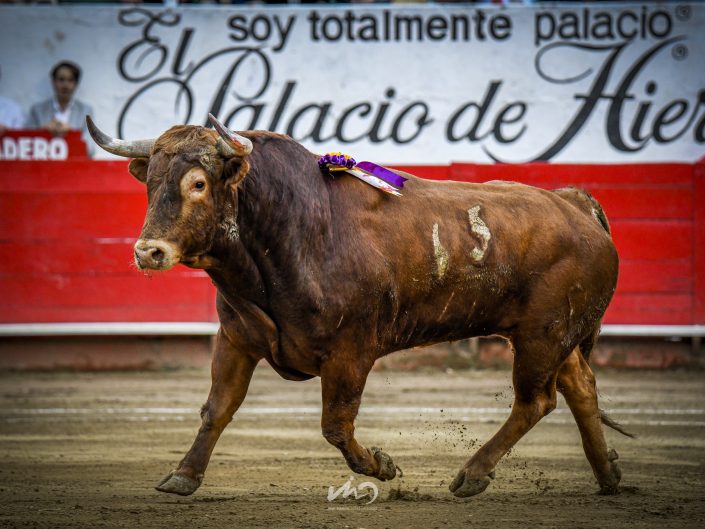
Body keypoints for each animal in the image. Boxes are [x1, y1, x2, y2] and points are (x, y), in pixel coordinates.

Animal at [85, 115, 624, 500]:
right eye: (150, 183)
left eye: (198, 183)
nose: (148, 252)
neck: (289, 228)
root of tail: (574, 204)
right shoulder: (238, 337)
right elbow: (217, 408)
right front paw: (183, 476)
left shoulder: (350, 352)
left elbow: (335, 426)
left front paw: (382, 466)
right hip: (553, 335)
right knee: (579, 385)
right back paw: (608, 475)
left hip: (542, 334)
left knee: (536, 400)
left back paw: (471, 476)